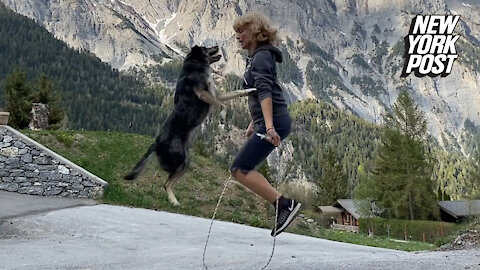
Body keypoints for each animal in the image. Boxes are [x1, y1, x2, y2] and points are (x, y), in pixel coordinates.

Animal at [125, 45, 256, 206]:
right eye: (207, 48)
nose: (217, 46)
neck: (196, 66)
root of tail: (156, 143)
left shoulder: (215, 94)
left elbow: (236, 92)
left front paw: (250, 90)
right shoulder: (203, 94)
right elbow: (223, 105)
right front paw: (223, 116)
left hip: (185, 161)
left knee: (168, 182)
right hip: (182, 161)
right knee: (166, 183)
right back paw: (174, 201)